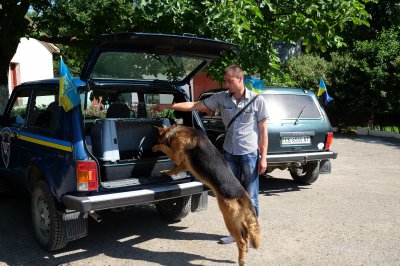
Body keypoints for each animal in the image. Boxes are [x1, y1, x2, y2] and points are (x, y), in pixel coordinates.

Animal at [152, 125, 260, 266]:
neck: (175, 131)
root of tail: (243, 195)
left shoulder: (176, 155)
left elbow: (165, 148)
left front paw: (156, 147)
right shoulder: (183, 164)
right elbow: (174, 169)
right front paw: (166, 172)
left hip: (229, 219)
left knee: (241, 241)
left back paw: (241, 259)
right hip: (237, 220)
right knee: (245, 234)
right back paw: (245, 251)